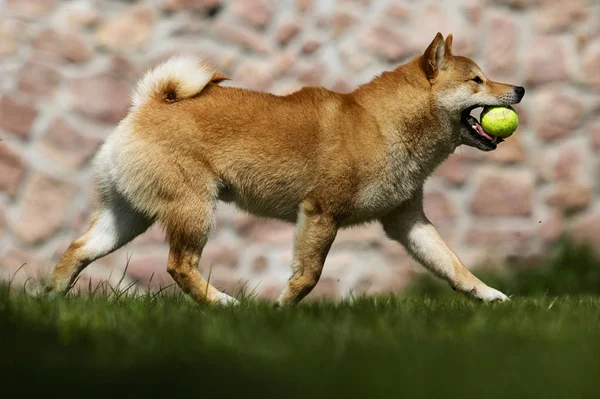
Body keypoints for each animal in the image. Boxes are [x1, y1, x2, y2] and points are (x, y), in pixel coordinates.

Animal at [49, 32, 524, 304]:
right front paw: (279, 311)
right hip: (193, 209)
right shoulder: (320, 213)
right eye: (477, 81)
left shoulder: (407, 221)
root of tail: (148, 104)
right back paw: (223, 303)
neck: (384, 124)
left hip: (128, 216)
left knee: (78, 249)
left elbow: (454, 266)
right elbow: (309, 277)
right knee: (178, 265)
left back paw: (51, 298)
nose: (519, 88)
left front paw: (490, 295)